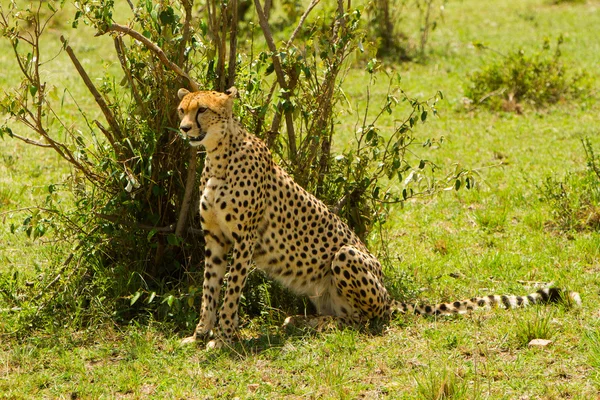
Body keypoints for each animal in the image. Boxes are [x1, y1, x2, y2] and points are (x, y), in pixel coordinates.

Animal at [176, 86, 580, 348]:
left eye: (202, 110)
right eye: (182, 109)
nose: (183, 129)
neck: (218, 155)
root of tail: (389, 295)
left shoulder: (243, 240)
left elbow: (229, 292)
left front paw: (223, 339)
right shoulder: (216, 240)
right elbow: (209, 289)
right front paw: (198, 335)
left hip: (347, 255)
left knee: (365, 319)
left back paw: (317, 325)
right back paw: (303, 320)